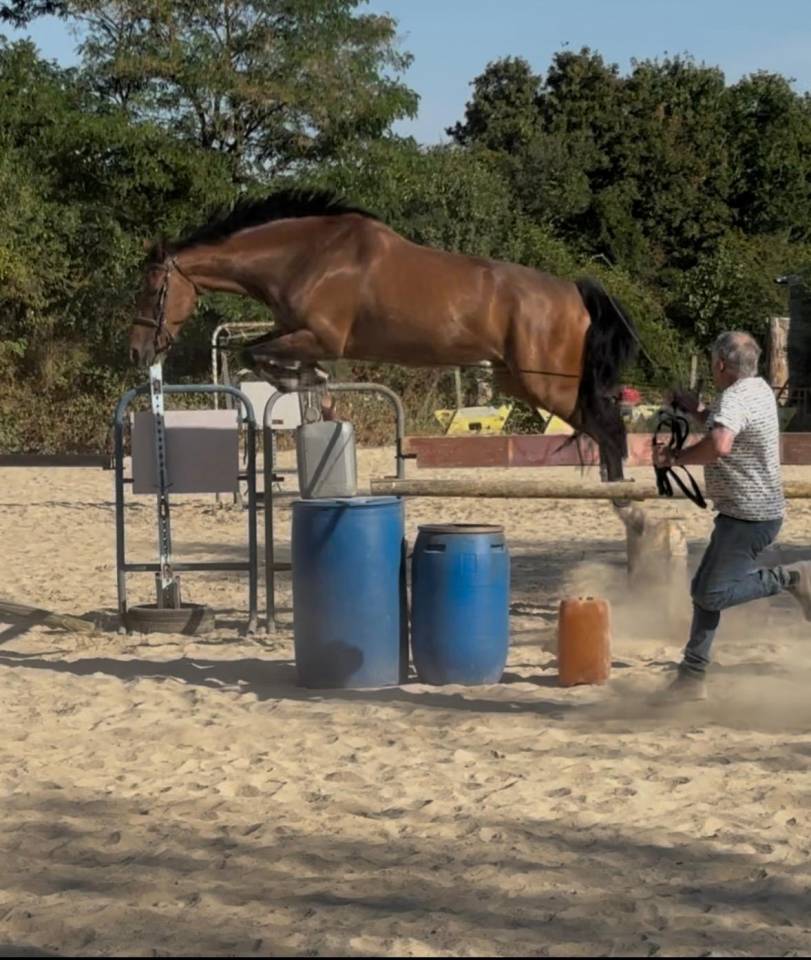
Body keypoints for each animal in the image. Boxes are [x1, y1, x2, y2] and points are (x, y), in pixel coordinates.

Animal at [131, 189, 639, 480]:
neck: (302, 256)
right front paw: (311, 385)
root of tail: (573, 291)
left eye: (153, 289)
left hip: (548, 384)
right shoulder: (294, 330)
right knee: (605, 431)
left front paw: (305, 381)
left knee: (610, 432)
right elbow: (260, 355)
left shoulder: (321, 336)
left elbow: (256, 356)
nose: (139, 351)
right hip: (519, 380)